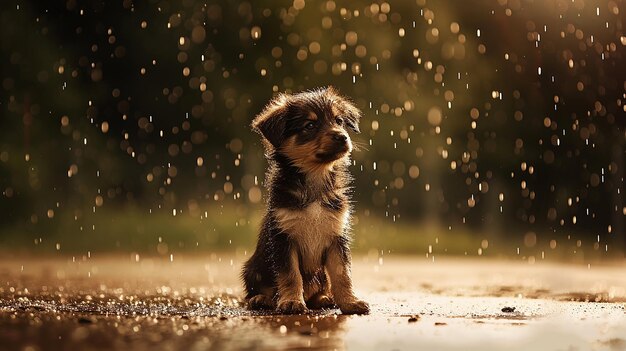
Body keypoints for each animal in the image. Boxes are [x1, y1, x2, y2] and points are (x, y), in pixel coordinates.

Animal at [241, 87, 368, 316]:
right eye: (310, 125)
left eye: (339, 121)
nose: (342, 137)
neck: (314, 179)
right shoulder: (284, 239)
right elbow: (291, 275)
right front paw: (292, 301)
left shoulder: (337, 237)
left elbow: (342, 274)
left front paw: (350, 302)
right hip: (253, 269)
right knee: (259, 289)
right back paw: (262, 299)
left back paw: (324, 298)